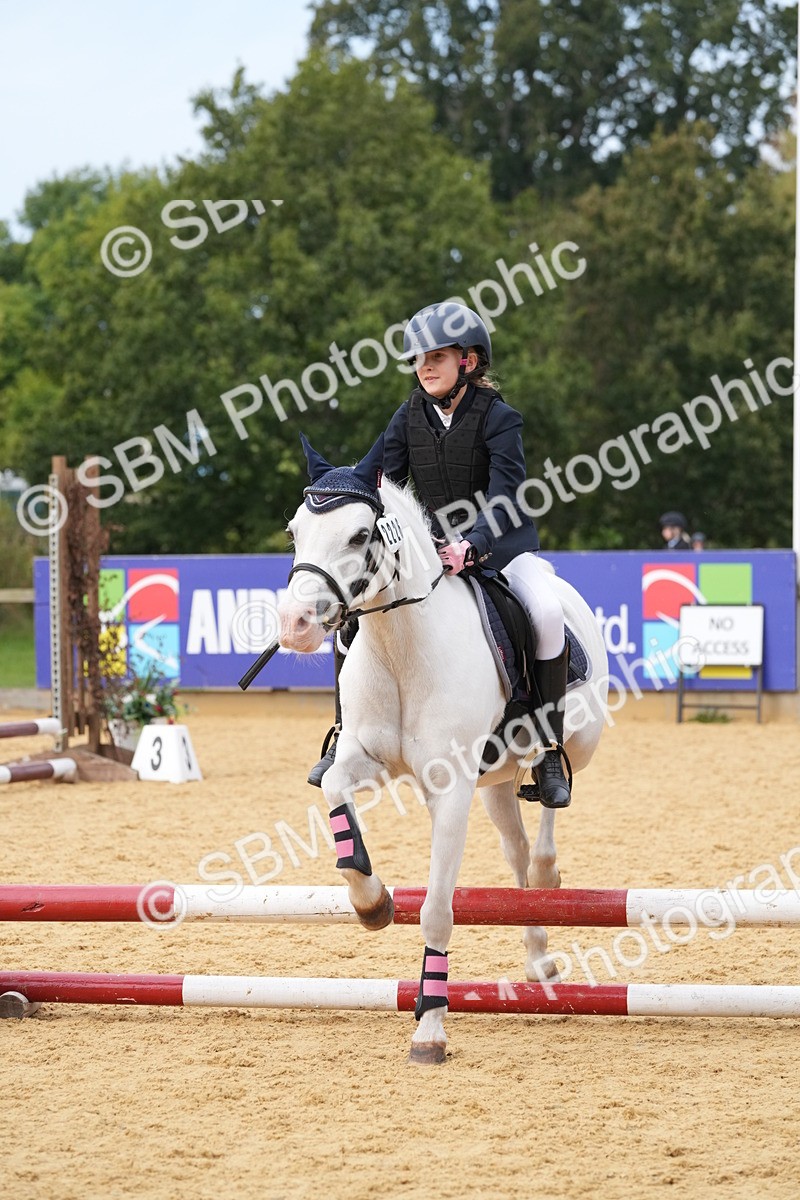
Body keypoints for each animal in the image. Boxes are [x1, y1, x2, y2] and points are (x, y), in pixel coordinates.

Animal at [278, 435, 609, 1062]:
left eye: (359, 535)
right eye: (294, 531)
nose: (295, 625)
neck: (401, 646)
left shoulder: (450, 789)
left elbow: (435, 909)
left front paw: (429, 1028)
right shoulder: (366, 759)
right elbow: (334, 792)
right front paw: (371, 900)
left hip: (581, 737)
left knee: (552, 793)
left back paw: (550, 865)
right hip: (495, 783)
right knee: (515, 854)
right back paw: (539, 957)